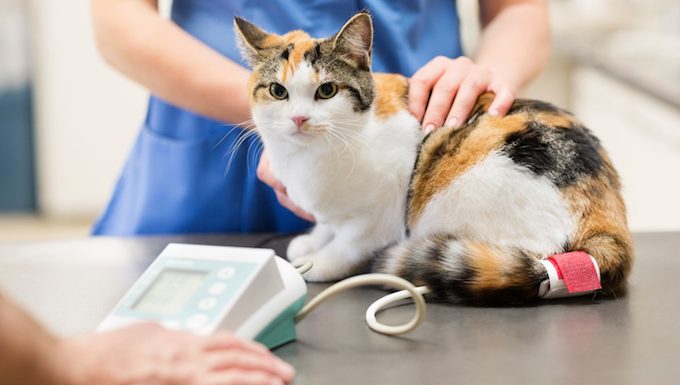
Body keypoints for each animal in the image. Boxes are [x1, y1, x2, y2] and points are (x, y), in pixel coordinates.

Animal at [234, 13, 632, 304]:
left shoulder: (385, 208)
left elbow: (350, 241)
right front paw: (313, 240)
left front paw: (319, 261)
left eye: (327, 90)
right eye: (278, 91)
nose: (299, 119)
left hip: (456, 194)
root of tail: (608, 223)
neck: (312, 157)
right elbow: (329, 224)